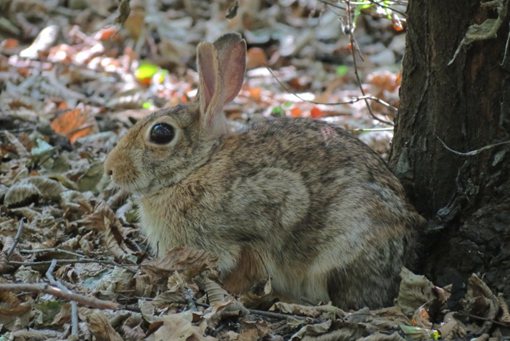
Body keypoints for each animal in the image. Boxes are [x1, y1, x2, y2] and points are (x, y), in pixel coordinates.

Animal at [105, 32, 424, 308]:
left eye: (161, 133)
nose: (110, 169)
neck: (198, 166)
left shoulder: (262, 219)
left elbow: (250, 264)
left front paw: (230, 291)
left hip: (342, 248)